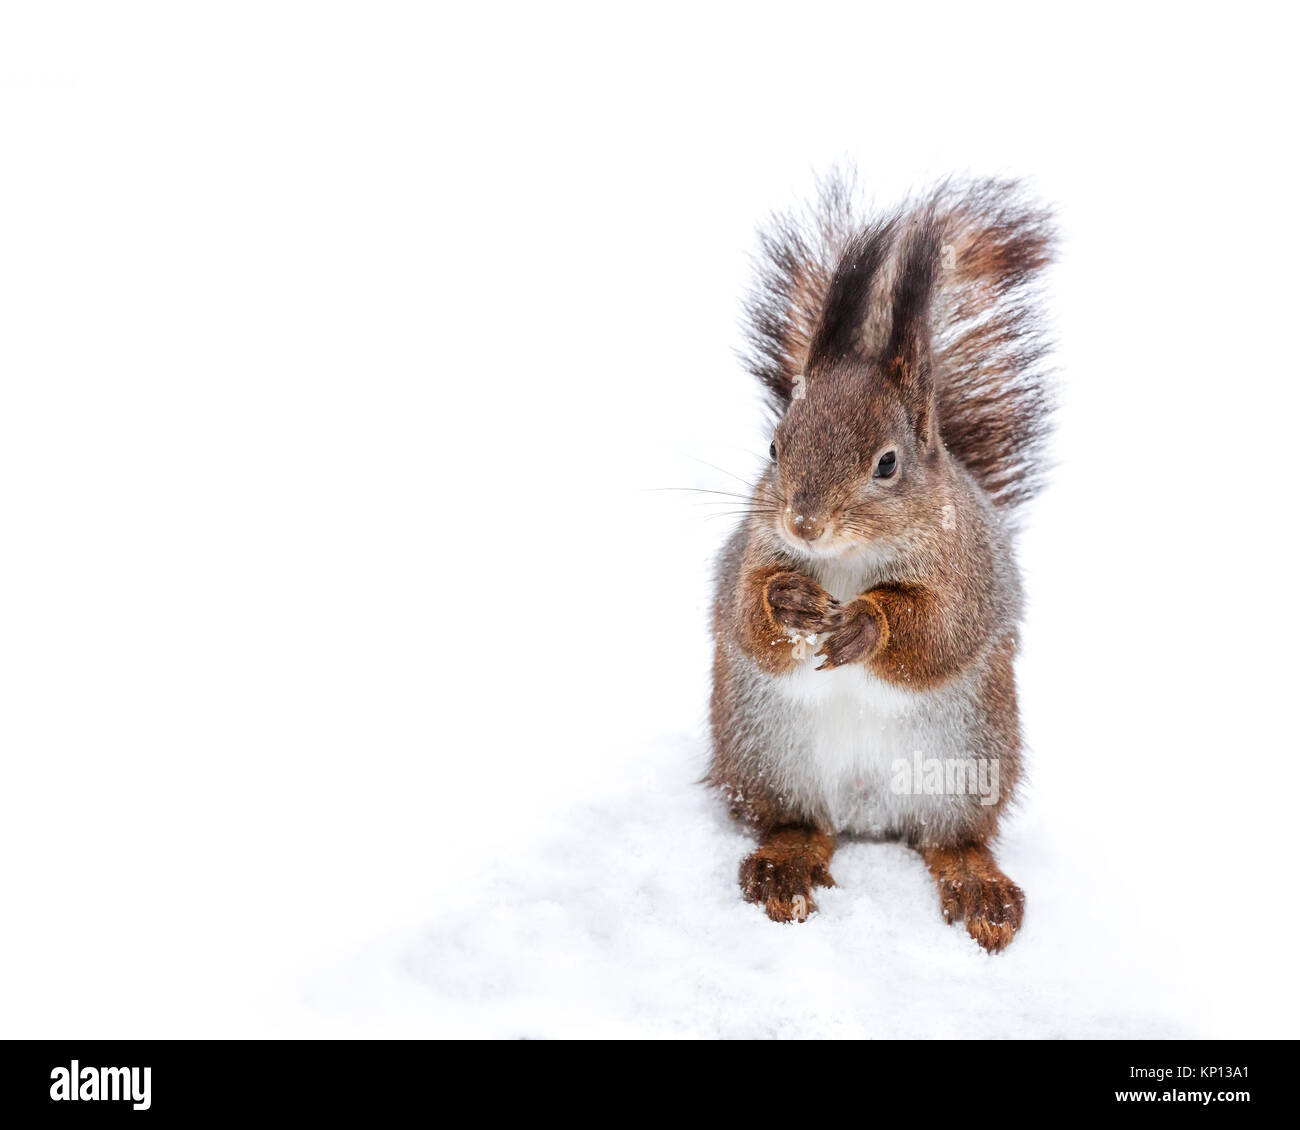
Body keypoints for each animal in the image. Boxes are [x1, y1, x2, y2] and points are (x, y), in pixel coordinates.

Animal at [707, 174, 1055, 953]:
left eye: (887, 465)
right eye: (775, 447)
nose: (804, 524)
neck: (844, 561)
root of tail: (866, 816)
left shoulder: (967, 575)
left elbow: (936, 634)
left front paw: (867, 625)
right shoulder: (748, 551)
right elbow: (745, 615)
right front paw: (787, 602)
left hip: (967, 759)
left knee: (950, 839)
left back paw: (980, 887)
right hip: (766, 752)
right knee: (798, 823)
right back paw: (785, 868)